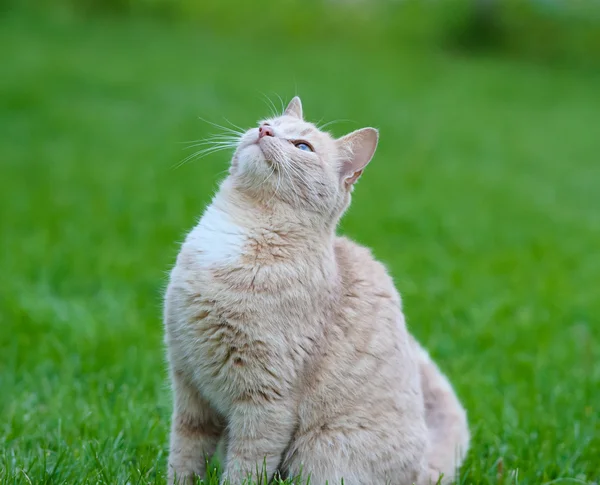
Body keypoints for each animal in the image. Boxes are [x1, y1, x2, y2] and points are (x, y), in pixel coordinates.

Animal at [163, 96, 468, 482]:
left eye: (303, 147)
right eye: (267, 122)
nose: (264, 131)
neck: (241, 228)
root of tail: (425, 473)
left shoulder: (266, 402)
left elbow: (245, 467)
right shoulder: (188, 387)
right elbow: (184, 456)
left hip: (320, 454)